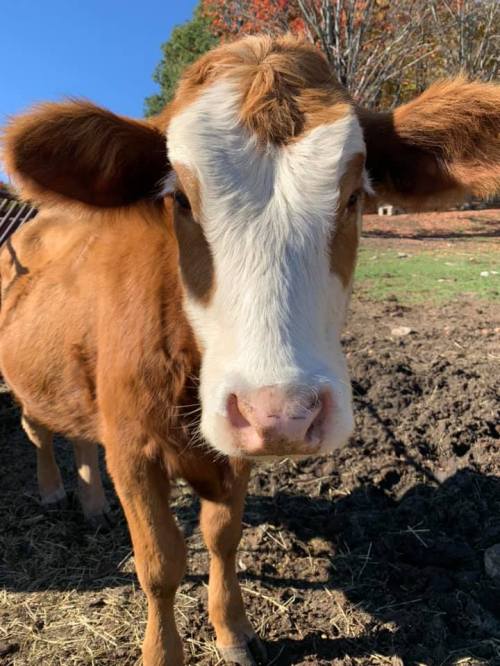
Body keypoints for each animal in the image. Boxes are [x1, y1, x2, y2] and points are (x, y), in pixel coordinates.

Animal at [1, 35, 499, 666]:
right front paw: (162, 651)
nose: (282, 414)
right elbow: (159, 563)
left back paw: (91, 503)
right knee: (41, 431)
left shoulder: (232, 453)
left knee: (82, 438)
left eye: (354, 197)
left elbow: (222, 537)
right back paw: (51, 489)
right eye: (180, 200)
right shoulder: (133, 448)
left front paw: (232, 630)